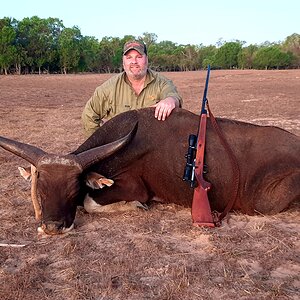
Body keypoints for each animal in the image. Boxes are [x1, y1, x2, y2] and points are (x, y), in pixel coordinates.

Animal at [0, 108, 300, 234]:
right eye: (41, 188)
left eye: (73, 188)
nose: (52, 227)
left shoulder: (135, 187)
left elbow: (90, 202)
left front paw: (136, 206)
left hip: (267, 201)